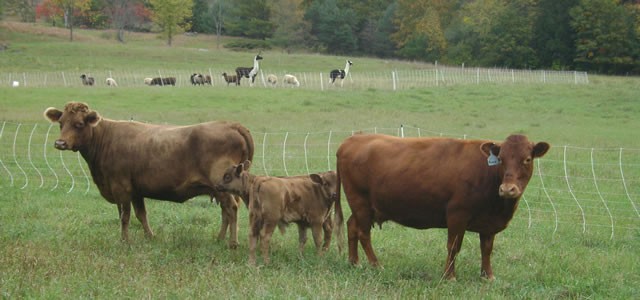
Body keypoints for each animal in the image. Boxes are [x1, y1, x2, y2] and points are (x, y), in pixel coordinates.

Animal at [336, 132, 552, 280]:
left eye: (527, 159)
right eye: (500, 159)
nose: (508, 189)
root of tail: (353, 139)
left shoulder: (489, 223)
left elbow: (487, 248)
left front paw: (487, 276)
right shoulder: (457, 214)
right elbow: (453, 246)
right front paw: (449, 276)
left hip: (364, 208)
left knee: (352, 226)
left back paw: (354, 262)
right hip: (360, 202)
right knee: (364, 233)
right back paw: (376, 265)